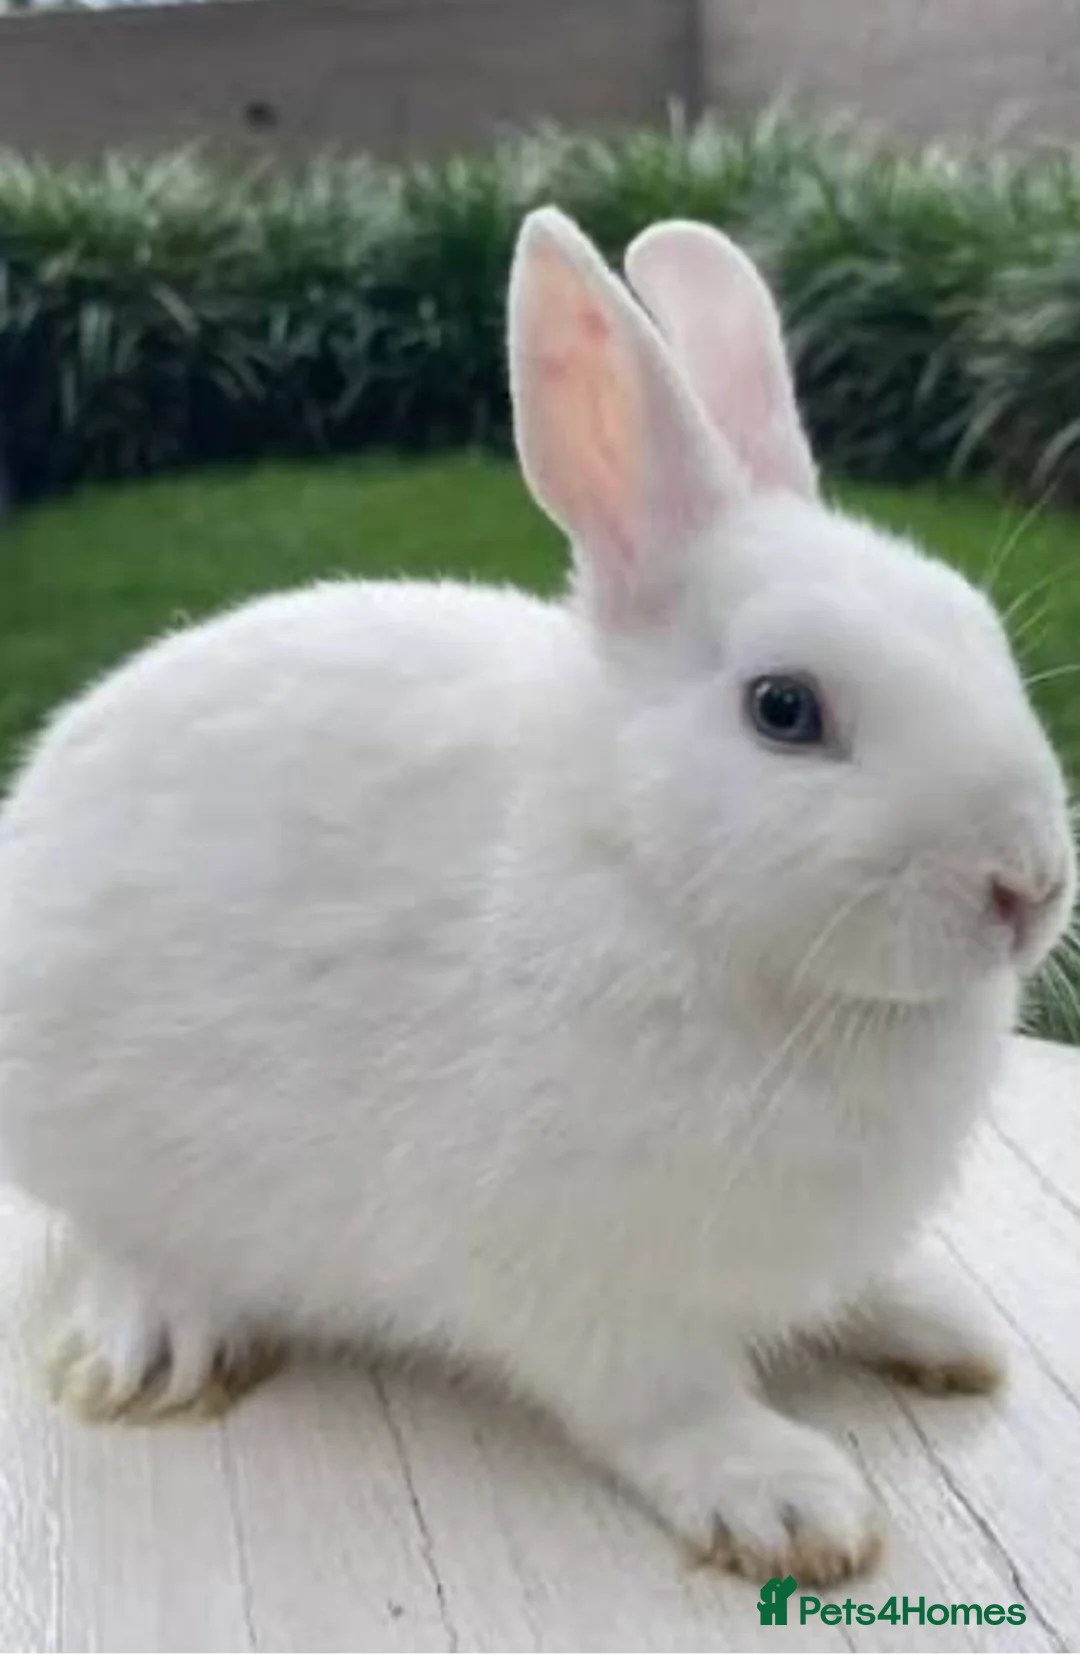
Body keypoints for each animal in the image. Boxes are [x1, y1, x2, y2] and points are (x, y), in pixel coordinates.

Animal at [0, 205, 1073, 1589]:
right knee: (116, 1233)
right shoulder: (583, 1285)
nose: (1028, 884)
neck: (644, 881)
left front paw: (940, 1322)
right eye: (786, 709)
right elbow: (662, 1401)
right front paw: (788, 1501)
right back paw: (156, 1338)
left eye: (980, 627)